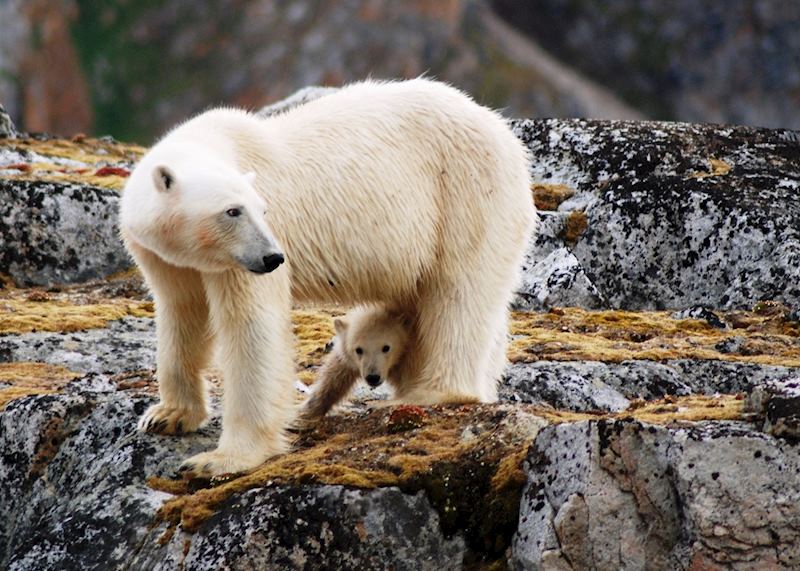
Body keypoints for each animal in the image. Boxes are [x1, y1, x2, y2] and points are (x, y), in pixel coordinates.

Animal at [119, 78, 537, 477]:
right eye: (232, 211)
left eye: (263, 209)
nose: (273, 257)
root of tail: (503, 132)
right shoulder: (167, 258)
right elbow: (182, 312)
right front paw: (168, 415)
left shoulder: (242, 263)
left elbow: (251, 327)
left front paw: (222, 459)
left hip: (464, 195)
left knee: (458, 292)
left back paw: (433, 392)